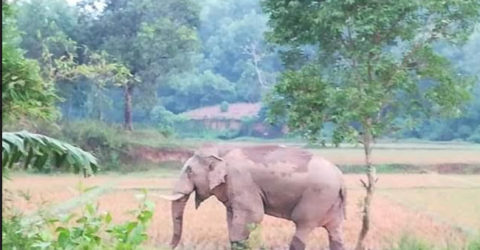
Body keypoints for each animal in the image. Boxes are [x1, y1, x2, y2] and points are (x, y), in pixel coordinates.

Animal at [159, 145, 346, 250]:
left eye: (189, 171)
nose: (167, 246)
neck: (221, 151)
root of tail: (341, 178)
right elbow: (232, 217)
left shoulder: (241, 181)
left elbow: (253, 215)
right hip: (331, 201)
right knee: (335, 232)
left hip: (317, 196)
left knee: (302, 225)